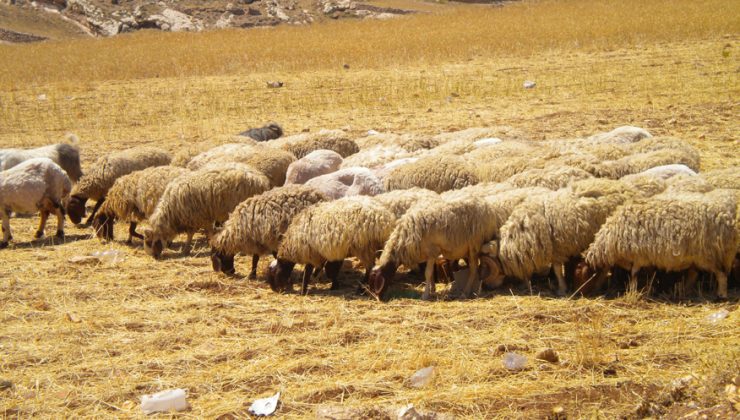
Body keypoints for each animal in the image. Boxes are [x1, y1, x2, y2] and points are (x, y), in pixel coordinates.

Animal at [264, 197, 394, 296]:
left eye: (273, 274)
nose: (276, 290)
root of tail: (384, 218)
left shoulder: (312, 253)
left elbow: (309, 271)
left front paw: (303, 290)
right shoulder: (326, 253)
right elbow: (328, 270)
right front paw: (333, 284)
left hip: (364, 247)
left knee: (369, 269)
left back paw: (360, 289)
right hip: (375, 246)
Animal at [584, 189, 736, 300]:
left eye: (586, 275)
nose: (587, 293)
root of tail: (727, 220)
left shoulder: (638, 255)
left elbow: (634, 274)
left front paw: (632, 292)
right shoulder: (647, 257)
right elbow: (649, 274)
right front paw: (650, 288)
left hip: (708, 255)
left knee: (721, 274)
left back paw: (721, 295)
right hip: (697, 257)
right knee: (694, 274)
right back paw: (683, 291)